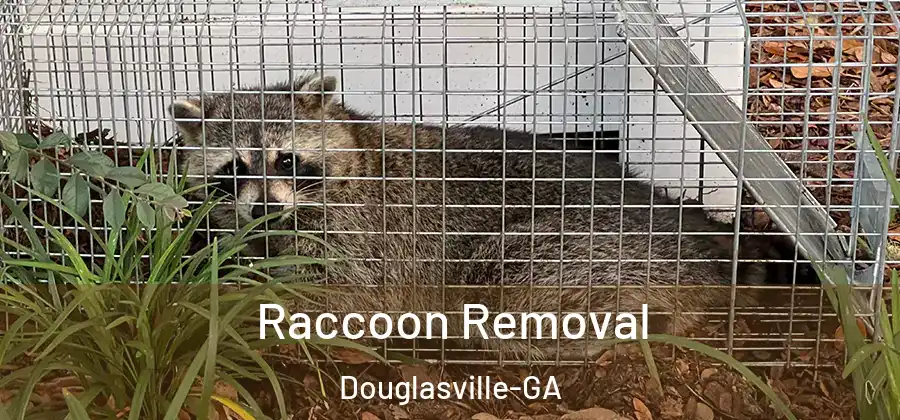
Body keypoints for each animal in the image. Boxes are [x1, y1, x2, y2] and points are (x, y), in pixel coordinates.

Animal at [167, 74, 806, 359]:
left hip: (577, 249)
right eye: (234, 168)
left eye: (286, 159)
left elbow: (345, 295)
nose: (265, 207)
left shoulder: (365, 234)